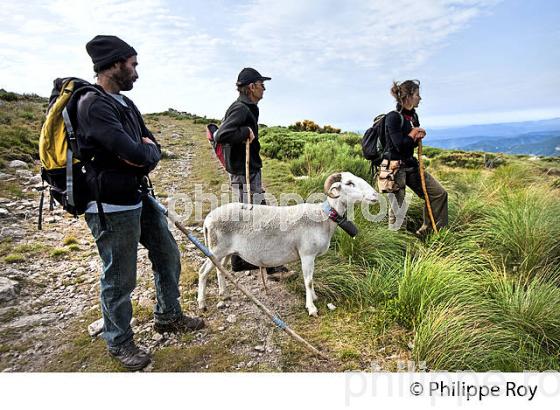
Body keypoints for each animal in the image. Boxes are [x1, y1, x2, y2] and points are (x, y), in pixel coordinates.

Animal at [198, 171, 380, 316]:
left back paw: (224, 294)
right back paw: (202, 303)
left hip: (226, 251)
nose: (375, 195)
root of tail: (208, 219)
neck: (324, 217)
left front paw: (314, 297)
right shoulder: (306, 254)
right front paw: (311, 308)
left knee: (220, 269)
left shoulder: (311, 256)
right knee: (203, 271)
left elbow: (311, 278)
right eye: (349, 183)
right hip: (216, 249)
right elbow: (308, 280)